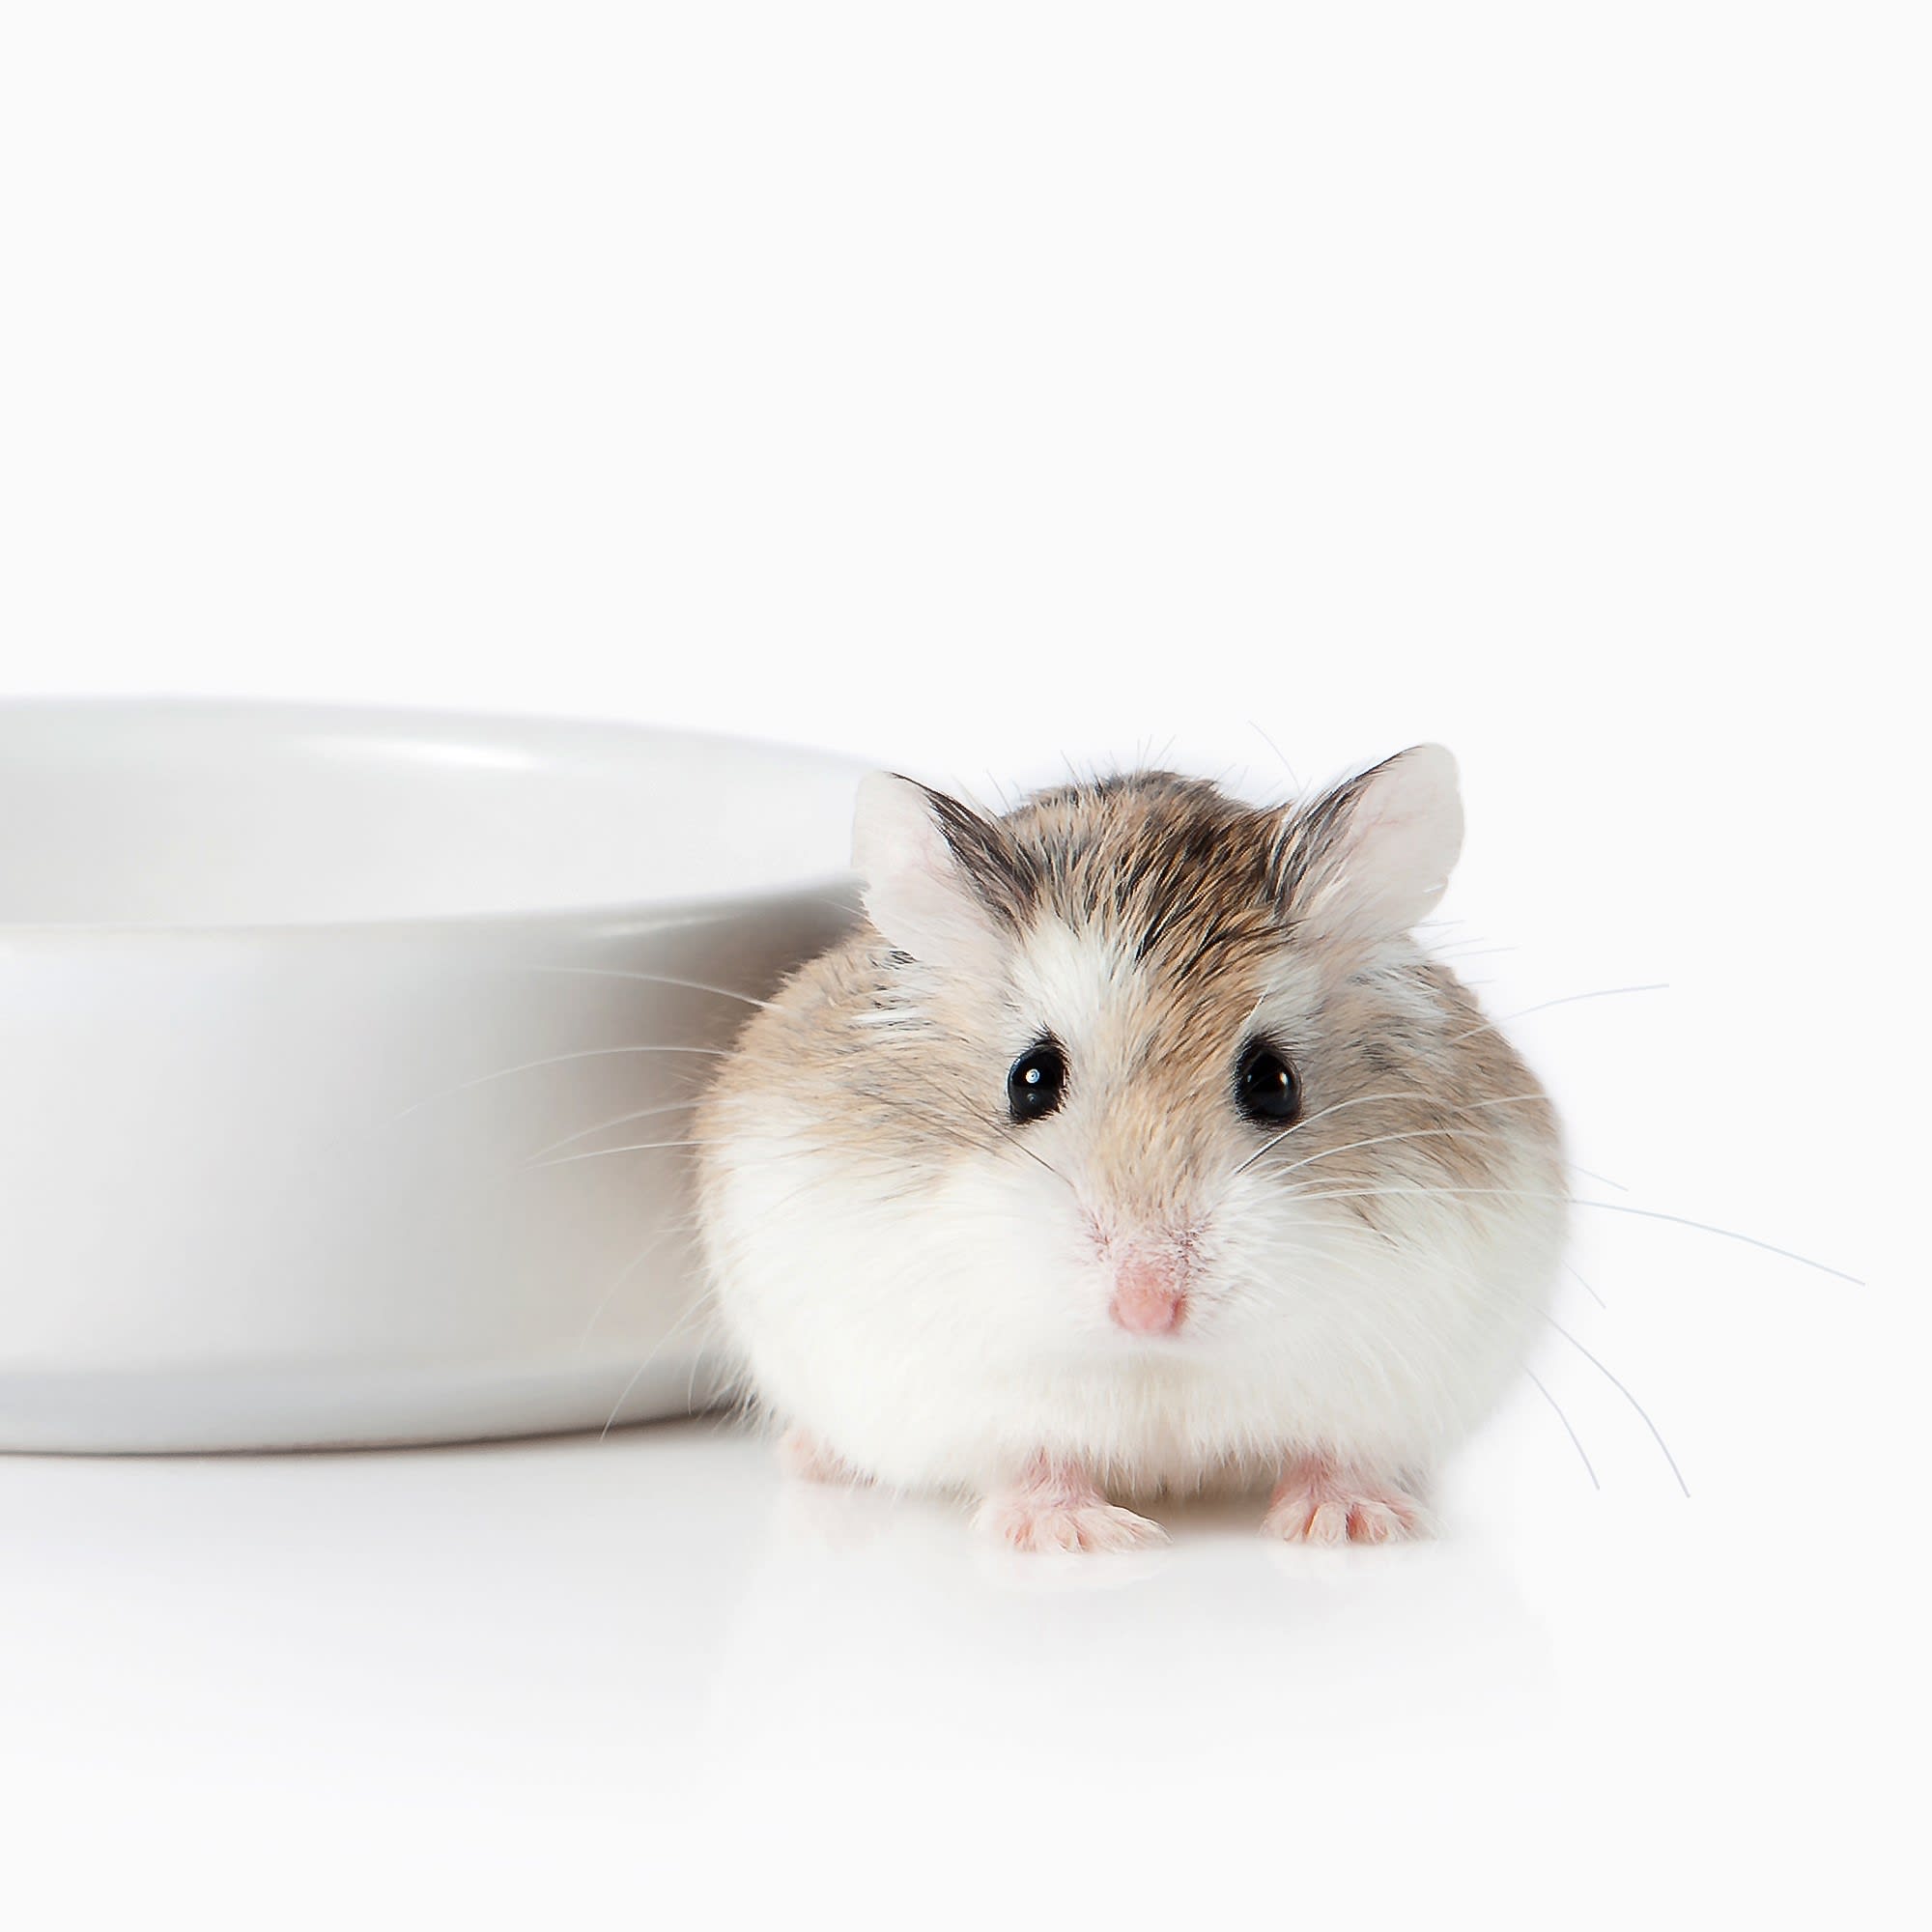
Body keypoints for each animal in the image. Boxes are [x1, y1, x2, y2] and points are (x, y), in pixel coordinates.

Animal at [696, 746, 1569, 1546]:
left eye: (1274, 1084)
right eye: (1030, 1079)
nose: (1148, 1309)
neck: (1153, 1364)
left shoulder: (1384, 1376)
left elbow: (1335, 1451)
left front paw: (1352, 1525)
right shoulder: (973, 1395)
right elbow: (1036, 1456)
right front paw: (1077, 1540)